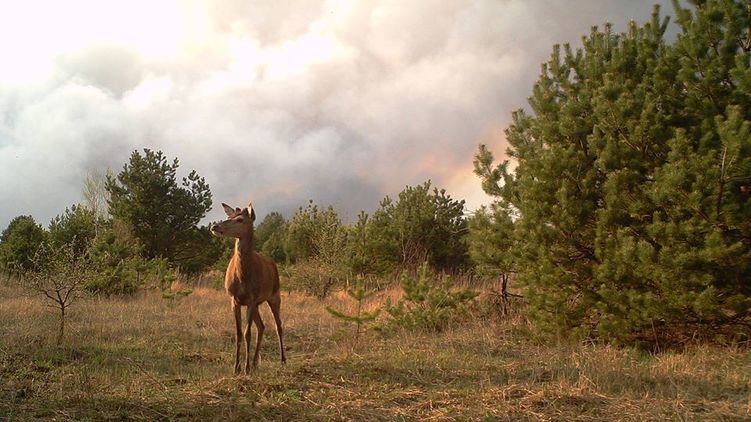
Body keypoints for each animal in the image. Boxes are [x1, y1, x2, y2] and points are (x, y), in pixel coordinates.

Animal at [210, 201, 286, 374]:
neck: (243, 277)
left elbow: (247, 333)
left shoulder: (252, 299)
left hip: (274, 295)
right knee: (262, 326)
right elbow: (239, 333)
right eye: (229, 216)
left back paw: (282, 360)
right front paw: (236, 367)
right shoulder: (234, 299)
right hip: (258, 303)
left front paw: (245, 368)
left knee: (278, 325)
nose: (215, 226)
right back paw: (255, 362)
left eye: (240, 219)